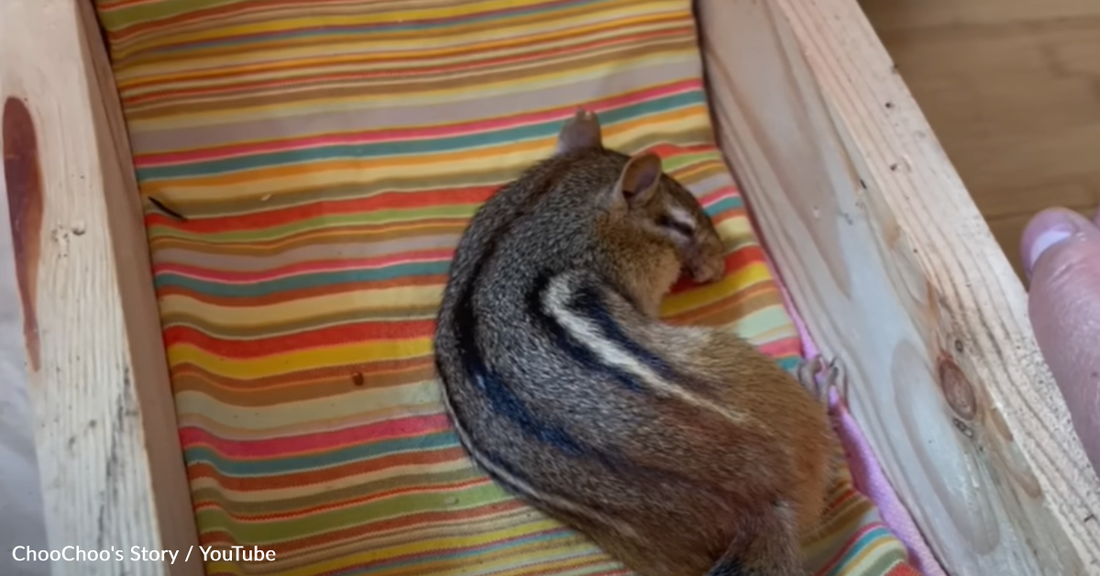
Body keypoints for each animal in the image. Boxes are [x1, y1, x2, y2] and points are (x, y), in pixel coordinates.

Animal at [433, 109, 844, 576]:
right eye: (681, 224)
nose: (719, 264)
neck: (536, 213)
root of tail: (762, 503)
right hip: (742, 361)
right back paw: (817, 386)